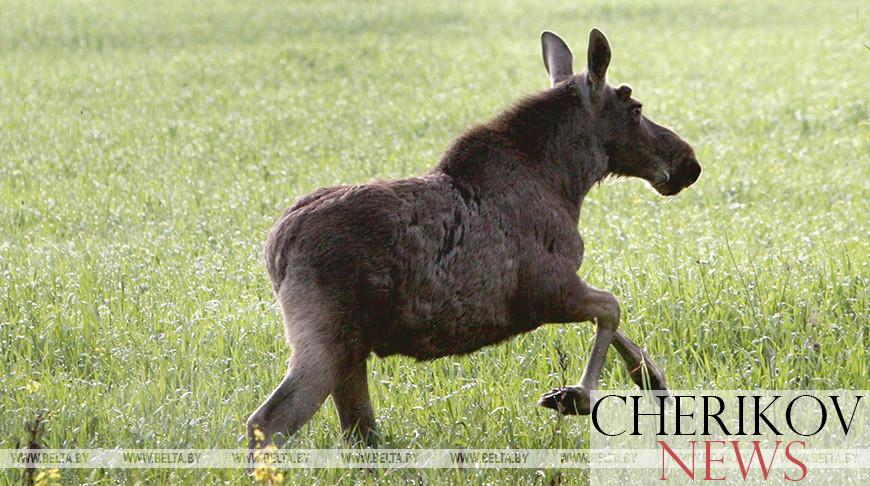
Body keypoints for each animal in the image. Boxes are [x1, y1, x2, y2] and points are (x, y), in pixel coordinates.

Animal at [245, 29, 700, 448]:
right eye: (635, 108)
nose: (689, 163)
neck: (566, 185)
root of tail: (276, 250)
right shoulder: (544, 290)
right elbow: (611, 309)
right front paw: (576, 396)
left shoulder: (555, 290)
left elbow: (616, 320)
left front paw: (654, 381)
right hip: (327, 337)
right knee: (268, 422)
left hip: (350, 348)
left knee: (359, 431)